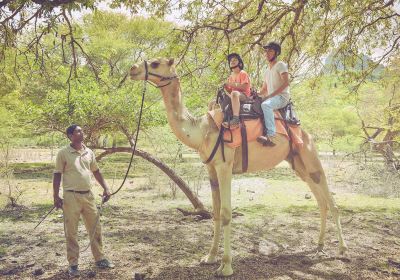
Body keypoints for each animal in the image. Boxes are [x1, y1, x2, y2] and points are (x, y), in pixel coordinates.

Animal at [130, 57, 346, 276]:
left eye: (155, 63)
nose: (133, 68)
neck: (202, 130)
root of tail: (305, 132)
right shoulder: (211, 168)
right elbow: (216, 213)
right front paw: (209, 258)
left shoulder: (225, 165)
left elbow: (226, 214)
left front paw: (225, 266)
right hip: (299, 164)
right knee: (321, 201)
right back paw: (319, 246)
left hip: (310, 156)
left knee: (331, 202)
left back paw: (342, 250)